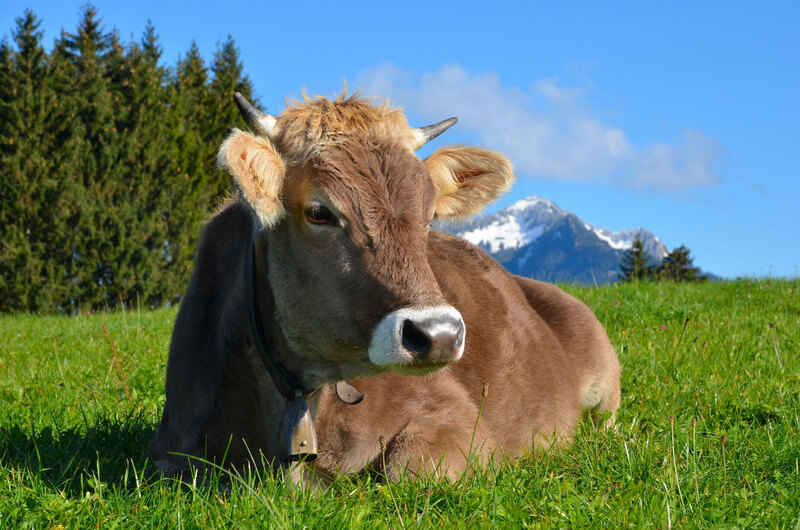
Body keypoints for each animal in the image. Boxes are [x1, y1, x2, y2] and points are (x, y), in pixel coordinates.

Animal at [149, 90, 621, 484]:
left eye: (430, 217)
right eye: (319, 212)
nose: (440, 335)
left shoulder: (459, 421)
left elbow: (406, 471)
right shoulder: (170, 452)